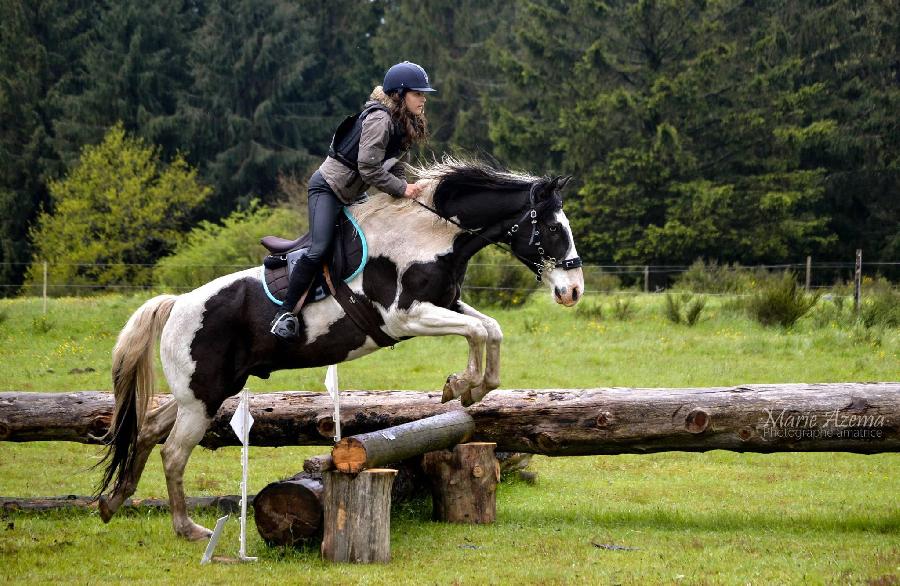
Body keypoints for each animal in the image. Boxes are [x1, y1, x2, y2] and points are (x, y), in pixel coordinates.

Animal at [96, 156, 584, 540]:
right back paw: (187, 529)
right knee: (173, 453)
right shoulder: (405, 317)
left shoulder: (444, 304)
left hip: (201, 392)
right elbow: (478, 332)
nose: (573, 291)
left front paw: (465, 387)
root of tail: (177, 304)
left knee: (147, 428)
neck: (429, 238)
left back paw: (112, 502)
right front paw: (465, 384)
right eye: (553, 228)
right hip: (202, 397)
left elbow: (489, 329)